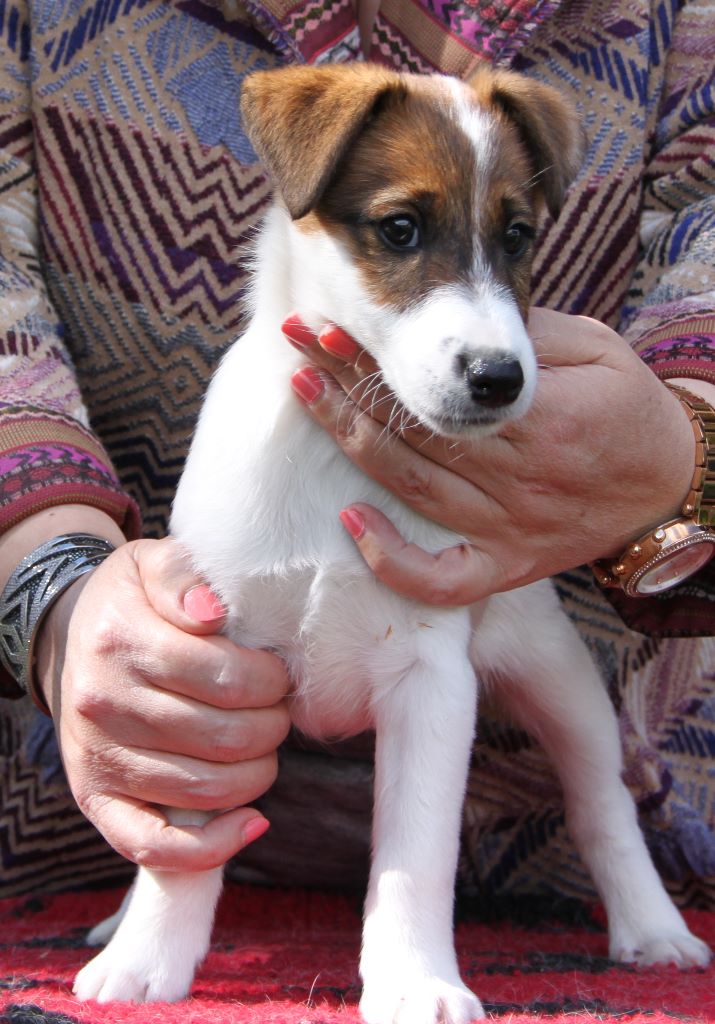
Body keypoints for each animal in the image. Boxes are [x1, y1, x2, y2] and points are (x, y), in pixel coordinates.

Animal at [72, 66, 708, 1024]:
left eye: (517, 237)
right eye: (400, 228)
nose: (498, 378)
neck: (331, 465)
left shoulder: (430, 679)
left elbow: (415, 860)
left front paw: (414, 980)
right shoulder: (214, 662)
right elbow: (185, 842)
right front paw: (149, 958)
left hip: (557, 677)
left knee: (602, 805)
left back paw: (652, 927)